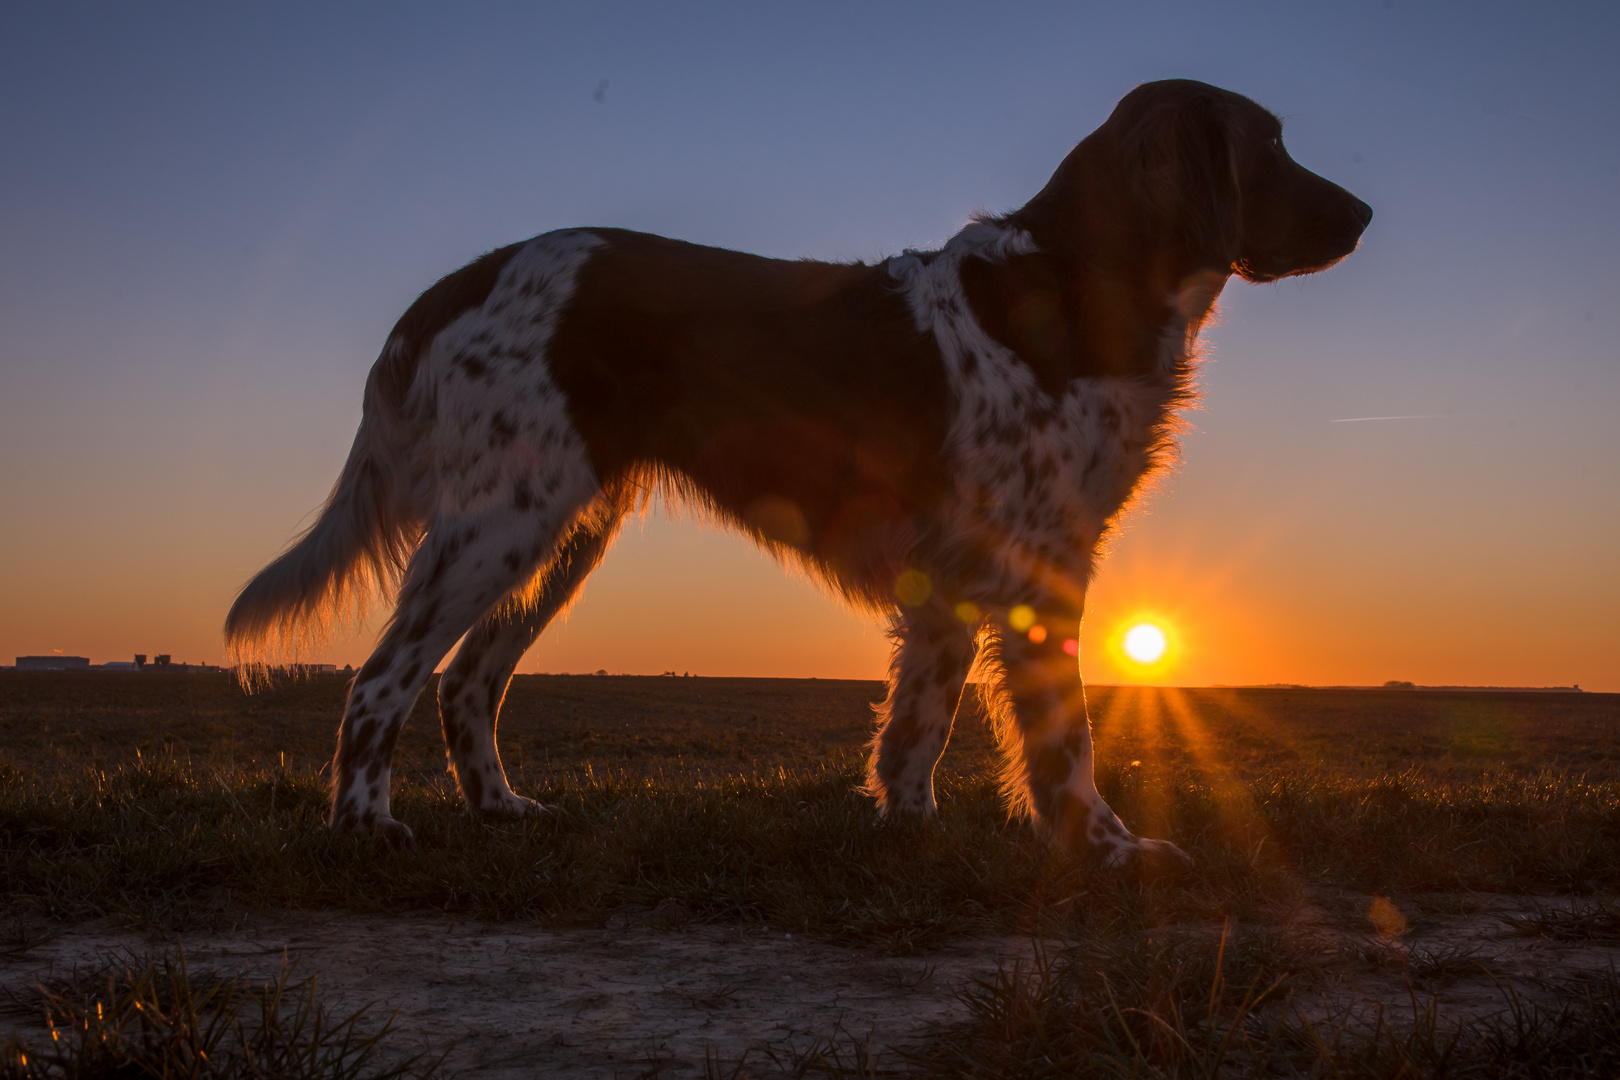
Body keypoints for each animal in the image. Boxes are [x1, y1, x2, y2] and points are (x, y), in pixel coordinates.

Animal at [225, 80, 1367, 867]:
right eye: (1270, 145)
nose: (1363, 214)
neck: (1075, 285)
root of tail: (455, 281)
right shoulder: (1040, 573)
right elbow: (1066, 746)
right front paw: (1110, 851)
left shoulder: (953, 584)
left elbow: (919, 727)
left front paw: (911, 832)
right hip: (503, 520)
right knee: (384, 677)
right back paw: (364, 827)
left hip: (562, 530)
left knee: (468, 679)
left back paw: (501, 809)